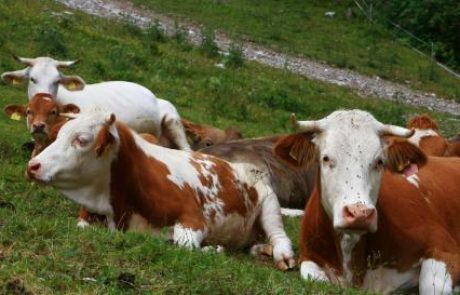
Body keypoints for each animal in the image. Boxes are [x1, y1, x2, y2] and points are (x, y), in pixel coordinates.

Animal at [26, 110, 294, 270]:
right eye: (58, 134)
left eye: (81, 140)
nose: (33, 166)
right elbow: (83, 226)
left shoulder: (193, 219)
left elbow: (186, 246)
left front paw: (212, 249)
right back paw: (261, 249)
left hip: (270, 202)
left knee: (278, 233)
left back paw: (281, 254)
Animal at [274, 111, 460, 295]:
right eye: (325, 158)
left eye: (379, 161)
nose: (359, 213)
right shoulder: (309, 257)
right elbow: (314, 278)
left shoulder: (445, 248)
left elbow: (431, 286)